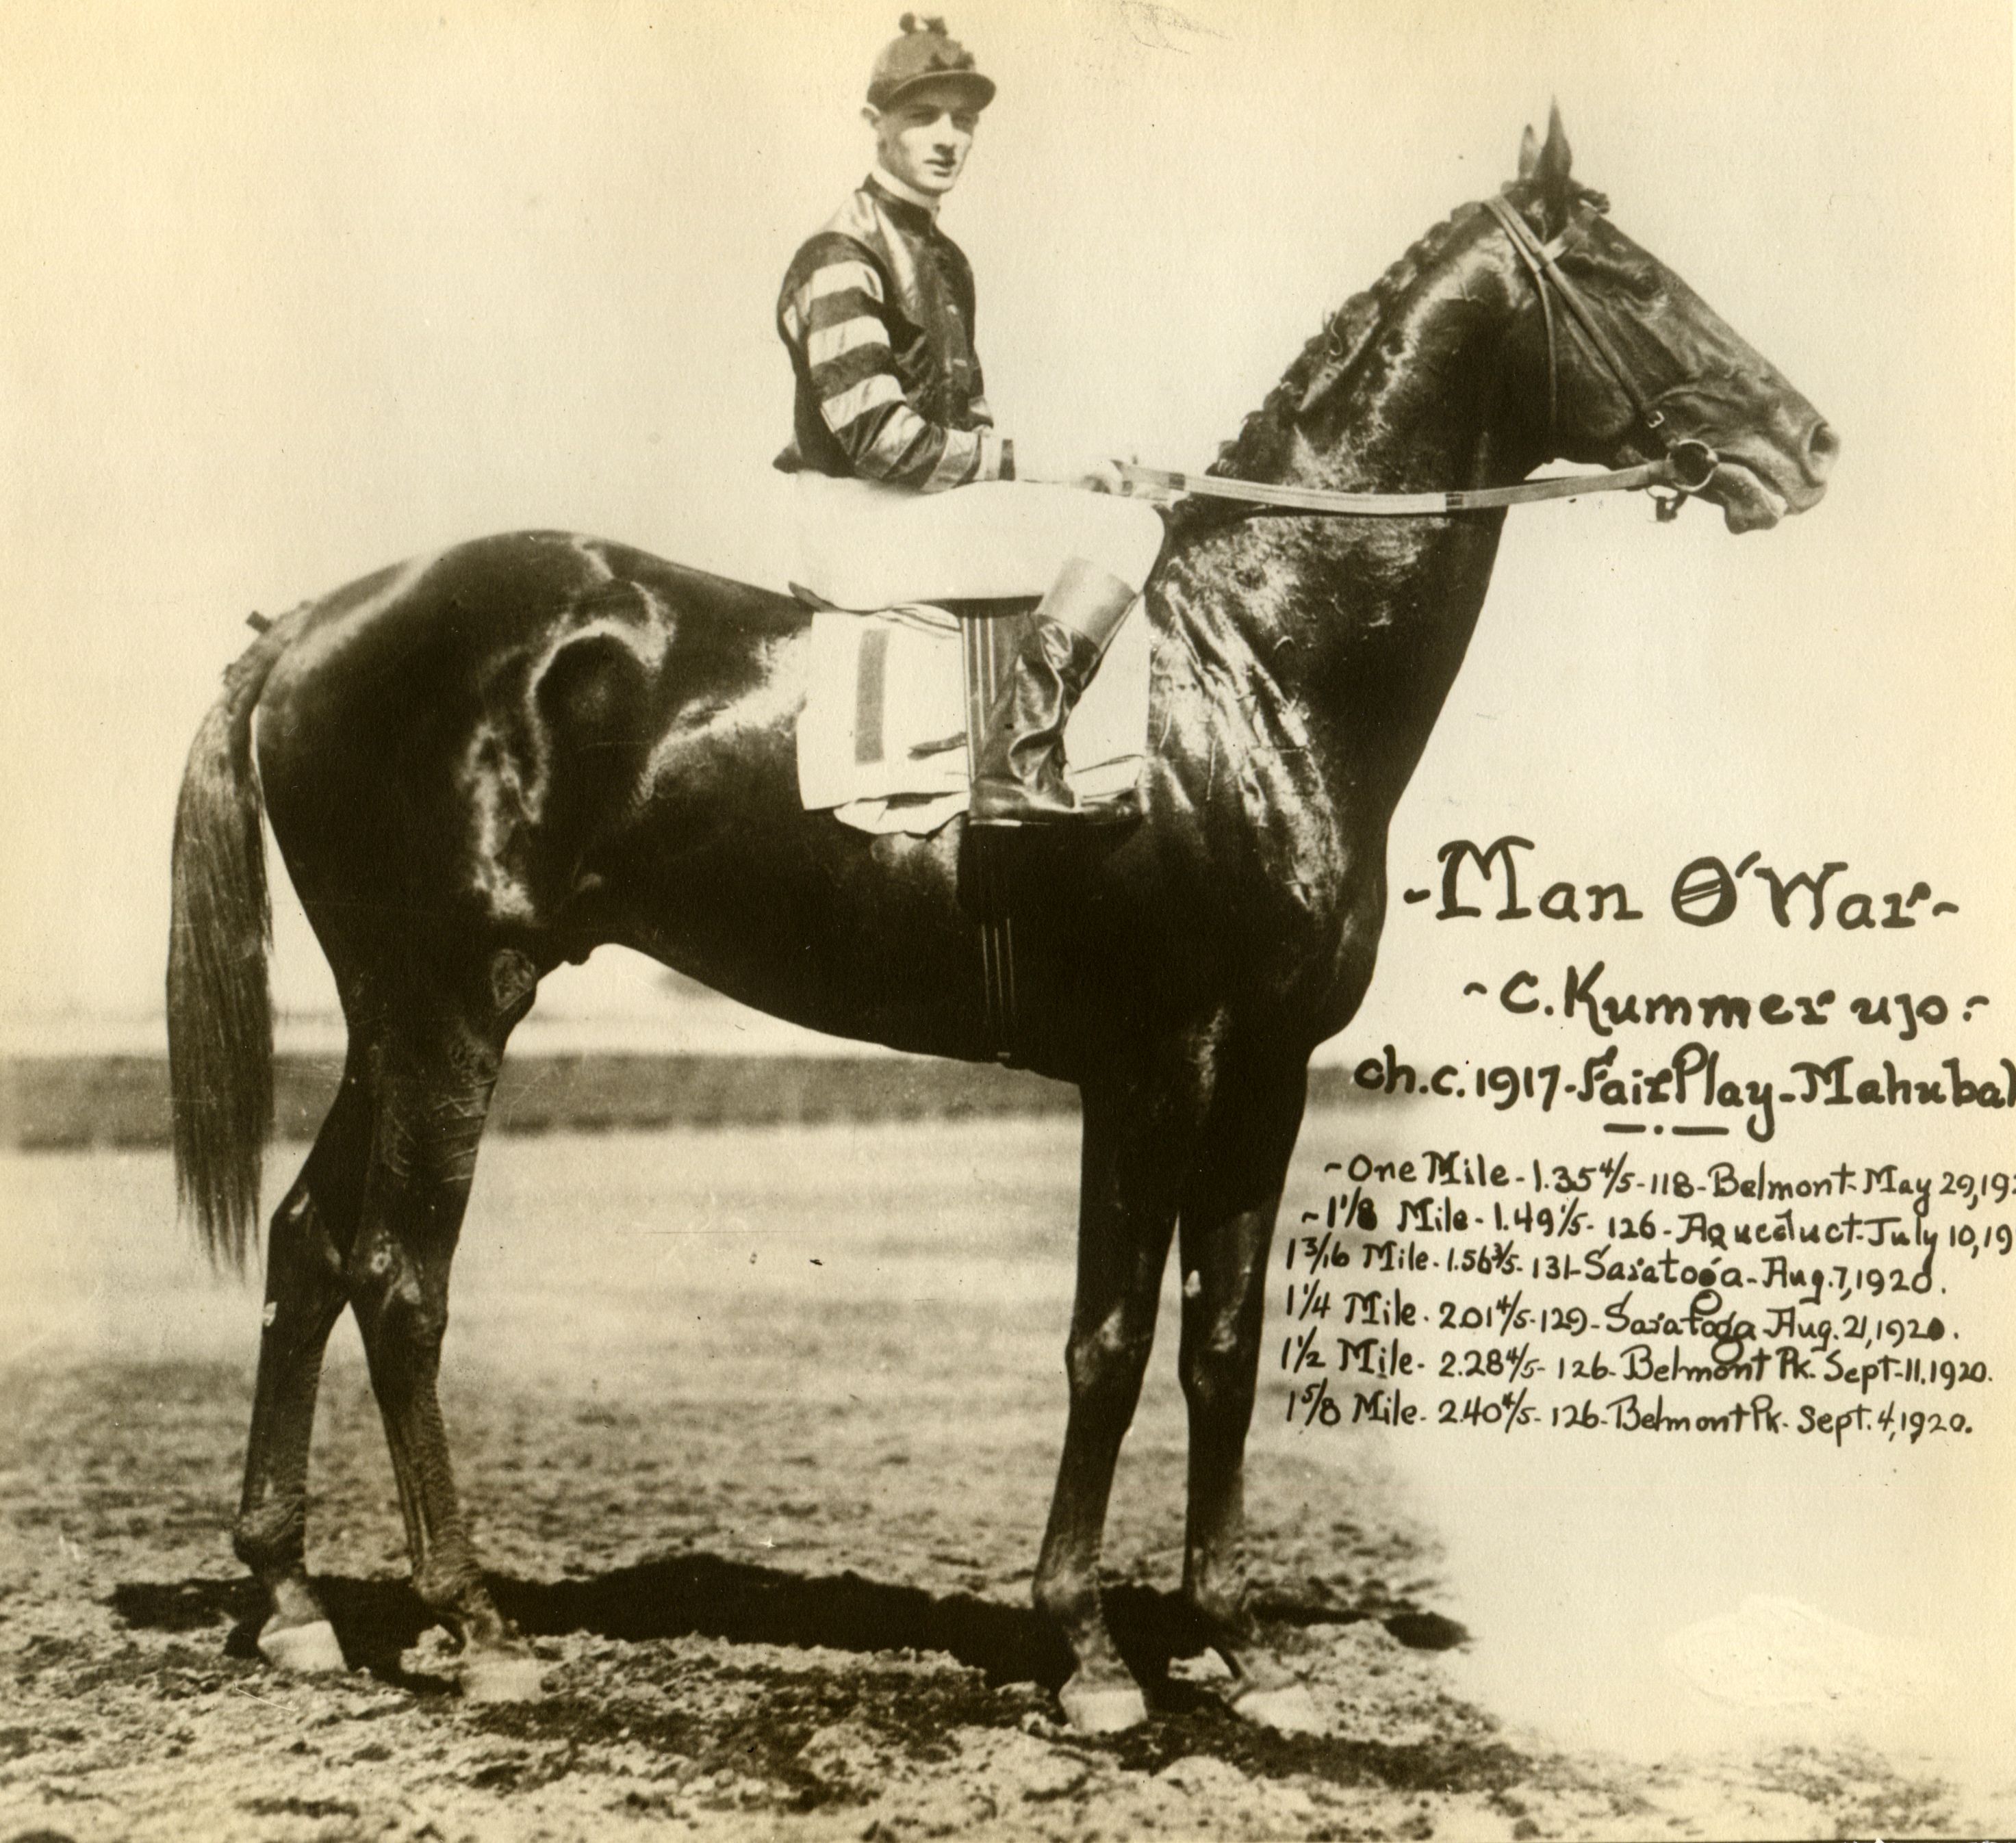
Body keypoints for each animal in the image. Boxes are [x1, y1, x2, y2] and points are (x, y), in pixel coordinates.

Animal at [169, 114, 1846, 1726]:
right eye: (1628, 274)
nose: (1809, 440)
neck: (1253, 661)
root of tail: (311, 622)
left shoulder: (1268, 1071)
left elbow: (1221, 1343)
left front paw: (1240, 1643)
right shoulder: (1156, 1060)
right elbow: (1108, 1343)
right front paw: (1091, 1648)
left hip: (393, 1011)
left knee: (311, 1244)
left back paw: (294, 1599)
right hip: (454, 997)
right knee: (400, 1275)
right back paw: (469, 1622)